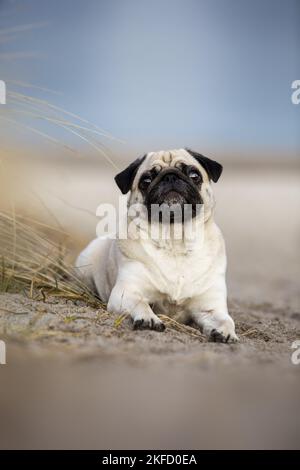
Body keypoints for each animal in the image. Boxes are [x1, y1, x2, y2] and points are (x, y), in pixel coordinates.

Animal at [76, 149, 238, 344]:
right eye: (146, 180)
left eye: (194, 175)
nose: (170, 176)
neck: (175, 242)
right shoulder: (126, 292)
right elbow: (141, 303)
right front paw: (149, 319)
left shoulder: (210, 307)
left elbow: (226, 320)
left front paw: (226, 332)